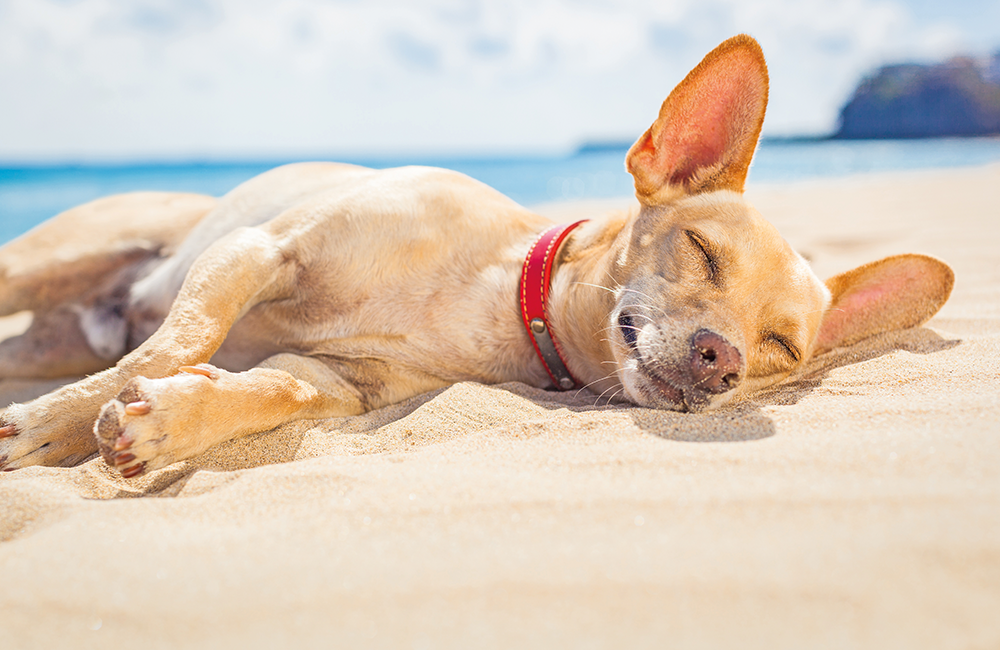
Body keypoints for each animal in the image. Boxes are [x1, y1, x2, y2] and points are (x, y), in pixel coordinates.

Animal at [0, 38, 952, 478]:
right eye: (703, 251)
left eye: (781, 348)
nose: (724, 361)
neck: (492, 295)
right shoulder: (258, 249)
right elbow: (177, 342)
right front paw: (49, 426)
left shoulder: (336, 380)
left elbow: (266, 390)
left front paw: (168, 422)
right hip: (54, 261)